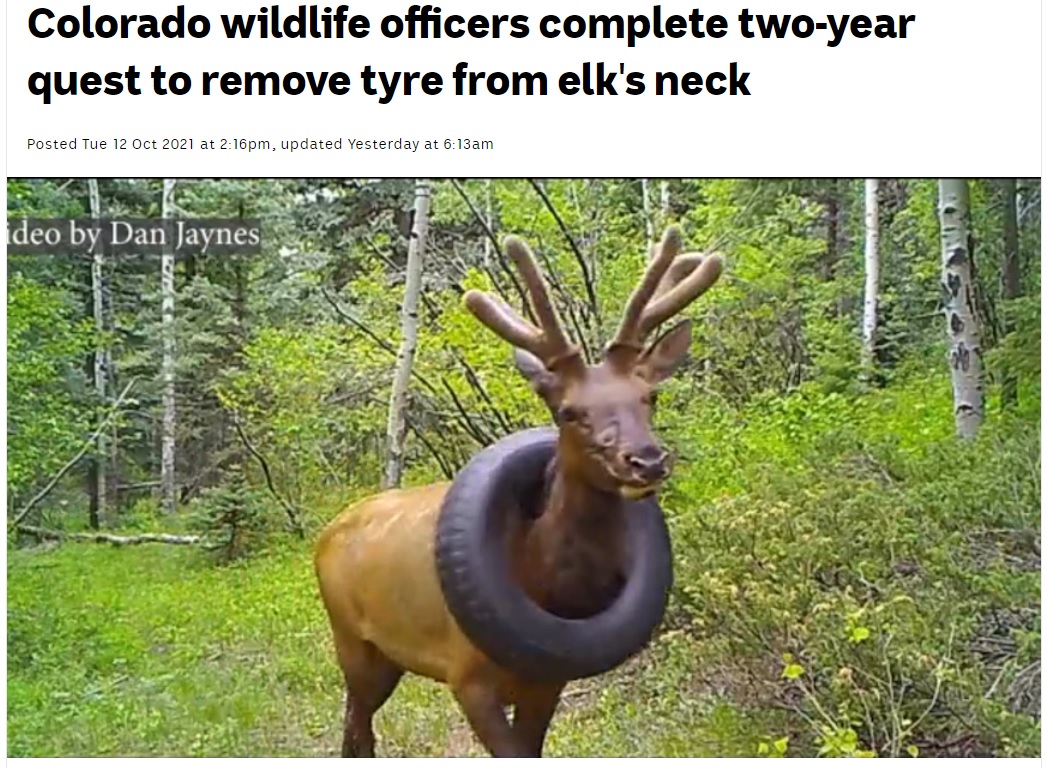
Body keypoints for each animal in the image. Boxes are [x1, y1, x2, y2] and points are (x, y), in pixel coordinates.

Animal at [314, 227, 724, 757]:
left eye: (649, 396)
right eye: (569, 411)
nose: (647, 460)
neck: (540, 578)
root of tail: (326, 534)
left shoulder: (547, 683)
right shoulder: (466, 675)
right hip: (353, 641)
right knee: (356, 727)